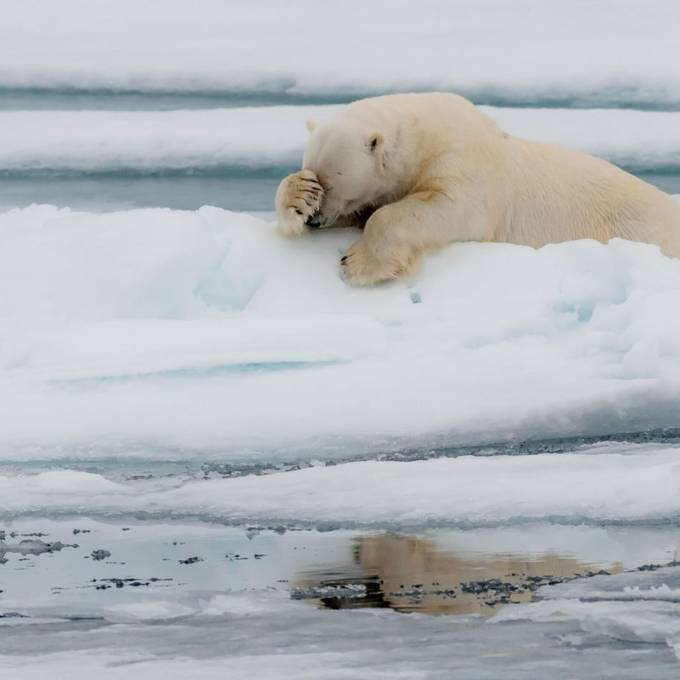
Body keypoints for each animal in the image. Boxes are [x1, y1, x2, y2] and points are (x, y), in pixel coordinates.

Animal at [274, 93, 680, 284]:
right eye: (315, 175)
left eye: (334, 182)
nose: (315, 222)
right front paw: (298, 197)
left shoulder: (464, 163)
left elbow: (446, 207)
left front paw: (357, 263)